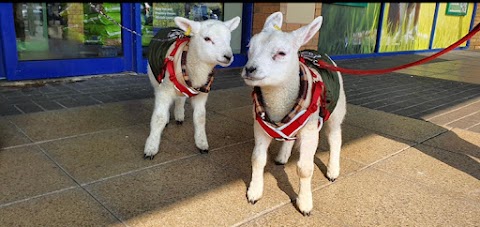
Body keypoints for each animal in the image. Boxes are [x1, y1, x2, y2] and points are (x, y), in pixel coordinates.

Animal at [142, 15, 240, 160]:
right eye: (207, 38)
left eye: (229, 38)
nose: (228, 57)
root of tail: (168, 27)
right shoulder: (164, 90)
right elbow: (158, 118)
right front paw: (151, 148)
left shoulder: (202, 94)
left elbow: (200, 118)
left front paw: (202, 143)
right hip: (154, 77)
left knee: (180, 98)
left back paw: (179, 115)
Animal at [242, 12, 346, 216]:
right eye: (250, 47)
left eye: (281, 53)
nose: (250, 69)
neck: (278, 105)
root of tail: (319, 53)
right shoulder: (260, 126)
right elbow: (257, 159)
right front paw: (254, 192)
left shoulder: (310, 131)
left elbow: (305, 169)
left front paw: (304, 203)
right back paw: (282, 157)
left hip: (336, 109)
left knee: (335, 138)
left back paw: (333, 171)